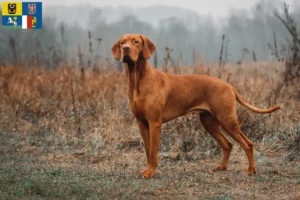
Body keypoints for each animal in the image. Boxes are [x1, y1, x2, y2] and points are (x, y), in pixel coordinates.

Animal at [111, 33, 280, 179]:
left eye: (136, 42)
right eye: (122, 42)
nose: (126, 49)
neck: (137, 80)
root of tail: (229, 86)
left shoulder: (154, 123)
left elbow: (153, 152)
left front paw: (150, 172)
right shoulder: (142, 123)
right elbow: (148, 150)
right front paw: (147, 170)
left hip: (227, 120)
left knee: (248, 144)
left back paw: (251, 170)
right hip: (209, 122)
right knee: (228, 145)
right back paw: (222, 167)